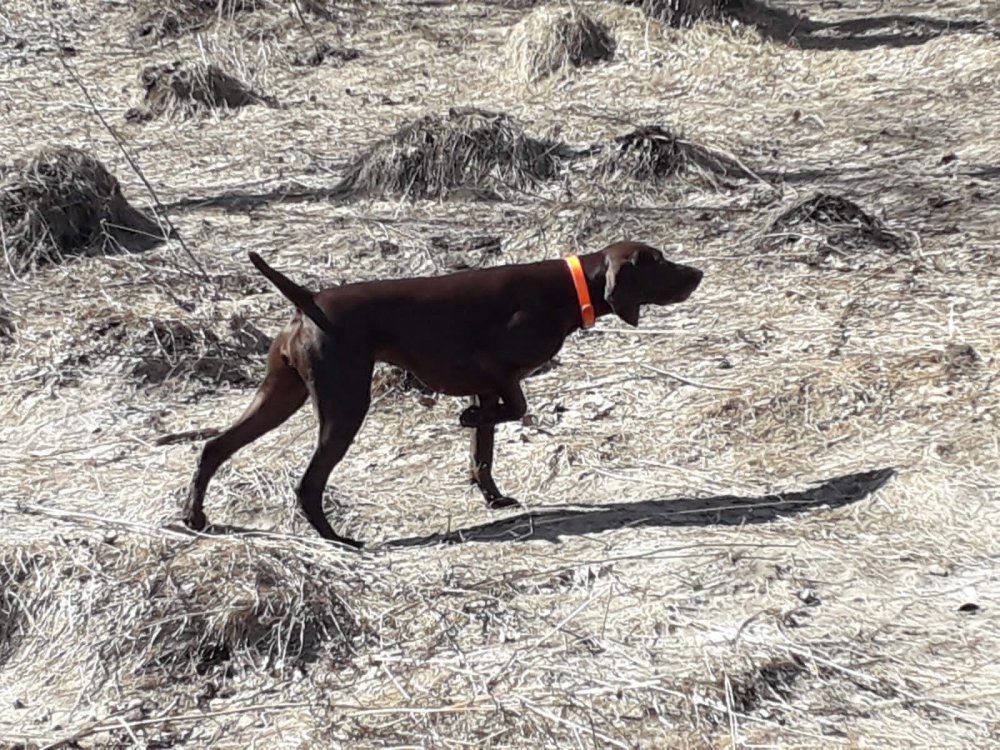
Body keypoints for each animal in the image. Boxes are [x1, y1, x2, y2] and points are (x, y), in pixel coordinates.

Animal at [185, 241, 702, 548]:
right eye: (658, 261)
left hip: (281, 395)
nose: (697, 273)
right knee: (308, 484)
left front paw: (492, 496)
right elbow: (515, 409)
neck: (567, 289)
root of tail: (308, 300)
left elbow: (485, 451)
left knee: (214, 446)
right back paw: (339, 540)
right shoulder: (495, 371)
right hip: (345, 405)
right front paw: (469, 426)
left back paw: (194, 517)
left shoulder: (483, 388)